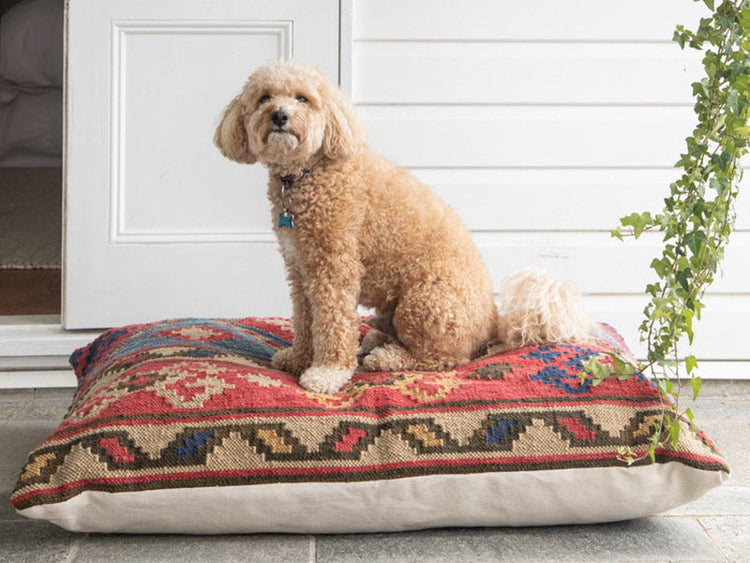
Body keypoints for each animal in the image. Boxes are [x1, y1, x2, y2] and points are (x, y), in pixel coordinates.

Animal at [213, 59, 592, 394]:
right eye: (264, 97)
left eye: (303, 98)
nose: (279, 115)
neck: (309, 172)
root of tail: (494, 321)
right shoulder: (300, 271)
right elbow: (305, 321)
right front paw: (299, 358)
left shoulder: (333, 272)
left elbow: (332, 326)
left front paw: (326, 373)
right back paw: (376, 339)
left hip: (425, 303)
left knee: (444, 358)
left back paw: (385, 357)